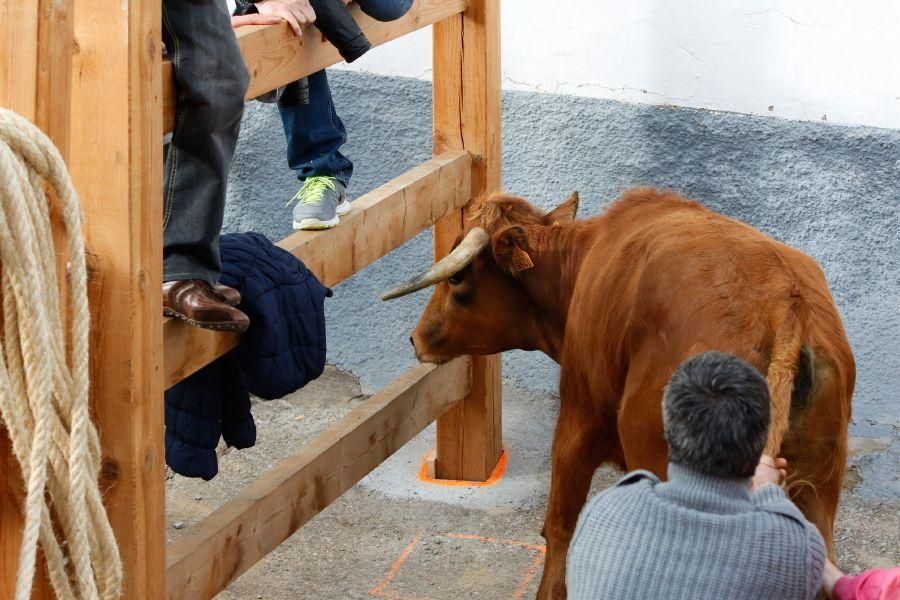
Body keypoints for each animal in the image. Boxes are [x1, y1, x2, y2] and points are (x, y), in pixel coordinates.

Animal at [384, 186, 856, 596]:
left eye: (458, 277)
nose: (416, 338)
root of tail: (783, 301)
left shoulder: (578, 420)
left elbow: (559, 525)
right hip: (819, 492)